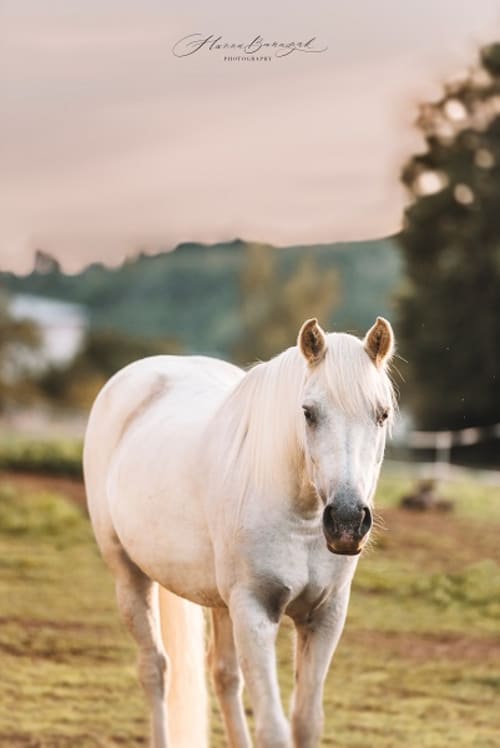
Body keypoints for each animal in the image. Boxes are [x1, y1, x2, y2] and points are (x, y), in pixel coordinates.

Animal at [83, 316, 395, 748]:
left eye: (382, 414)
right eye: (308, 412)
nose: (347, 521)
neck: (302, 521)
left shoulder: (324, 615)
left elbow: (306, 722)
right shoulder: (254, 610)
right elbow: (274, 729)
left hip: (219, 601)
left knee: (224, 676)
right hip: (130, 577)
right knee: (155, 670)